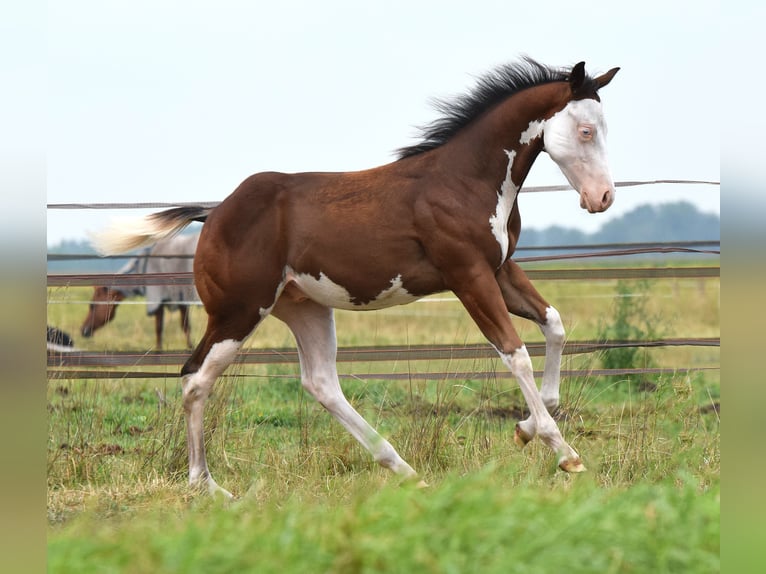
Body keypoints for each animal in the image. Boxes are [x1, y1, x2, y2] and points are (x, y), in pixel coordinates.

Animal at [93, 58, 619, 497]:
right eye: (586, 130)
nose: (603, 198)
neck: (465, 180)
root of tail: (214, 212)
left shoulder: (501, 270)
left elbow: (554, 325)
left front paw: (527, 428)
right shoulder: (468, 275)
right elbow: (516, 353)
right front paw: (563, 452)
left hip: (303, 308)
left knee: (321, 383)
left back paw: (404, 469)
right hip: (238, 311)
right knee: (195, 378)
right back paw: (207, 487)